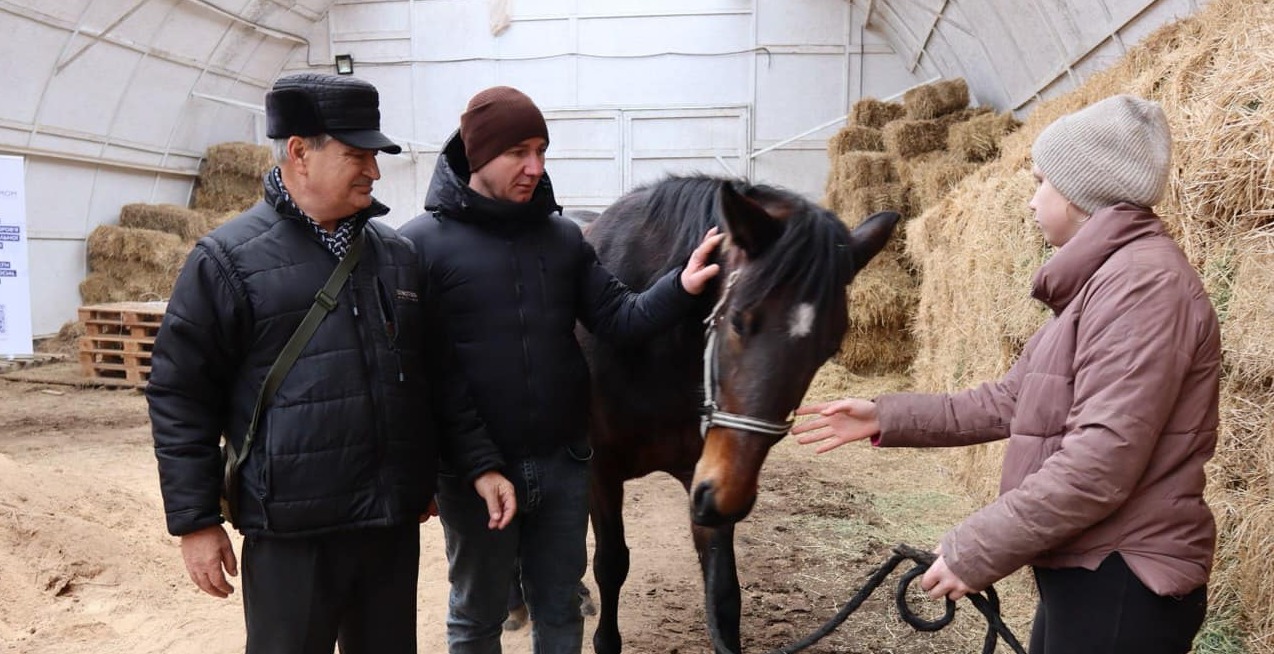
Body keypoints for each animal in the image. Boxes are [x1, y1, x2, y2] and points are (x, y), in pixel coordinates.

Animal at [578, 174, 896, 652]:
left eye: (830, 347)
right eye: (739, 321)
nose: (729, 498)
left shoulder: (706, 475)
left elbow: (725, 595)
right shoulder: (602, 471)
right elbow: (611, 563)